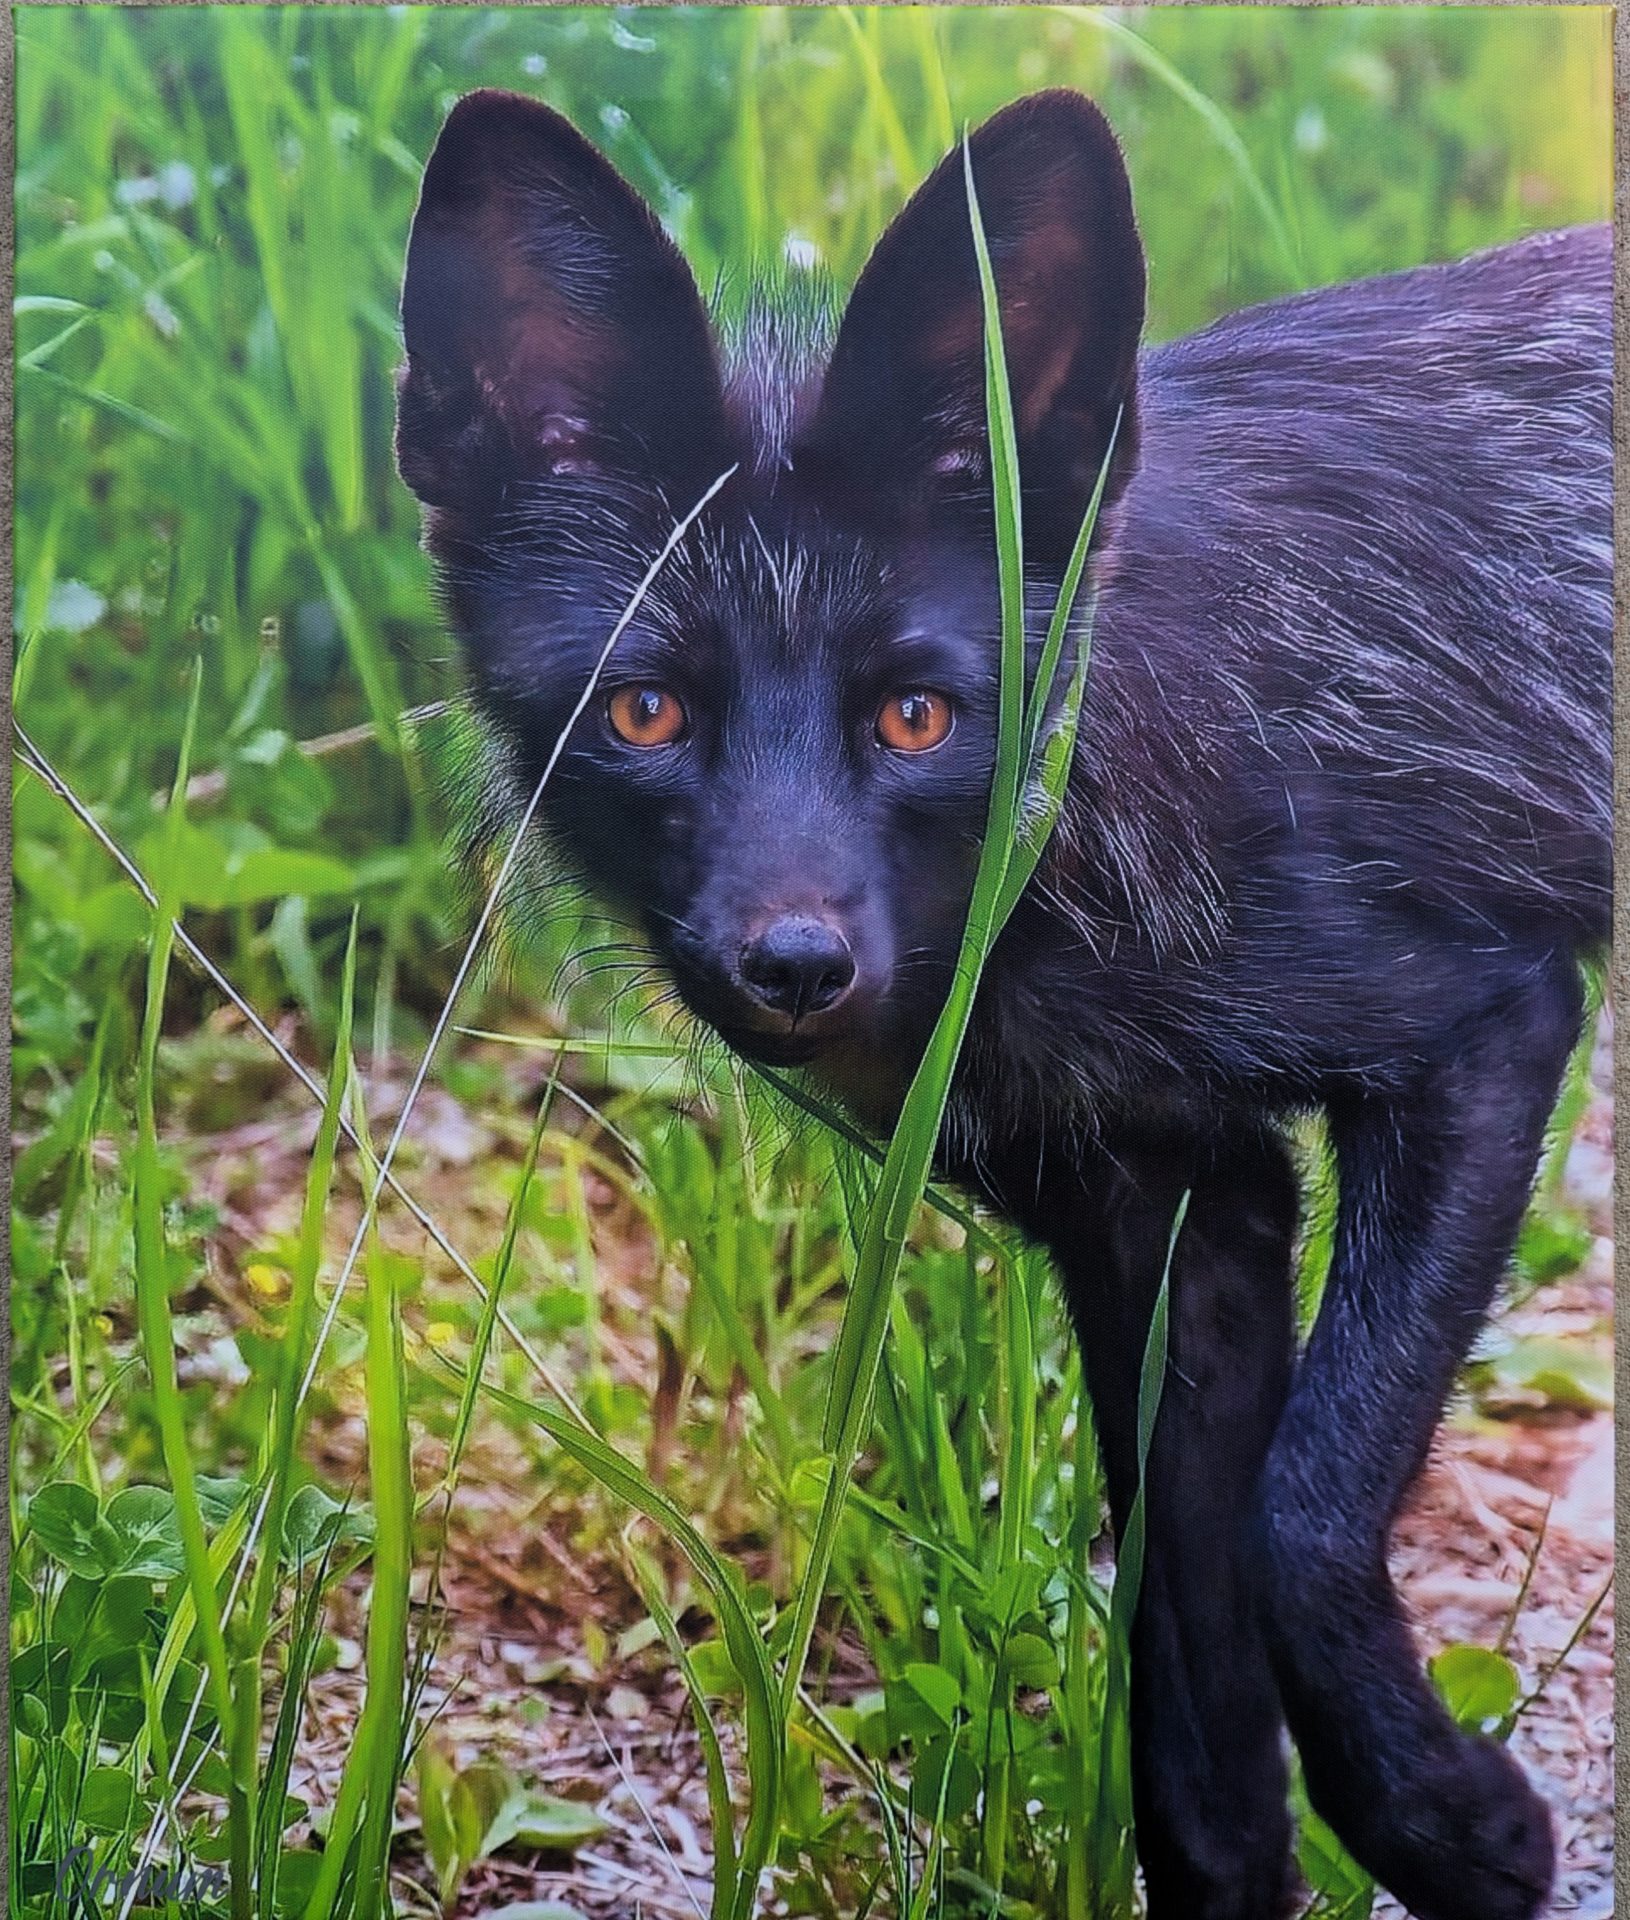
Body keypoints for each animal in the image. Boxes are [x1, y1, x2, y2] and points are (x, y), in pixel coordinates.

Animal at [395, 87, 1611, 1920]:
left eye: (915, 715)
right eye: (645, 710)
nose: (794, 966)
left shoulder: (1480, 1026)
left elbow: (1299, 1521)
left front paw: (1452, 1826)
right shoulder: (1166, 1199)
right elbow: (1186, 1686)